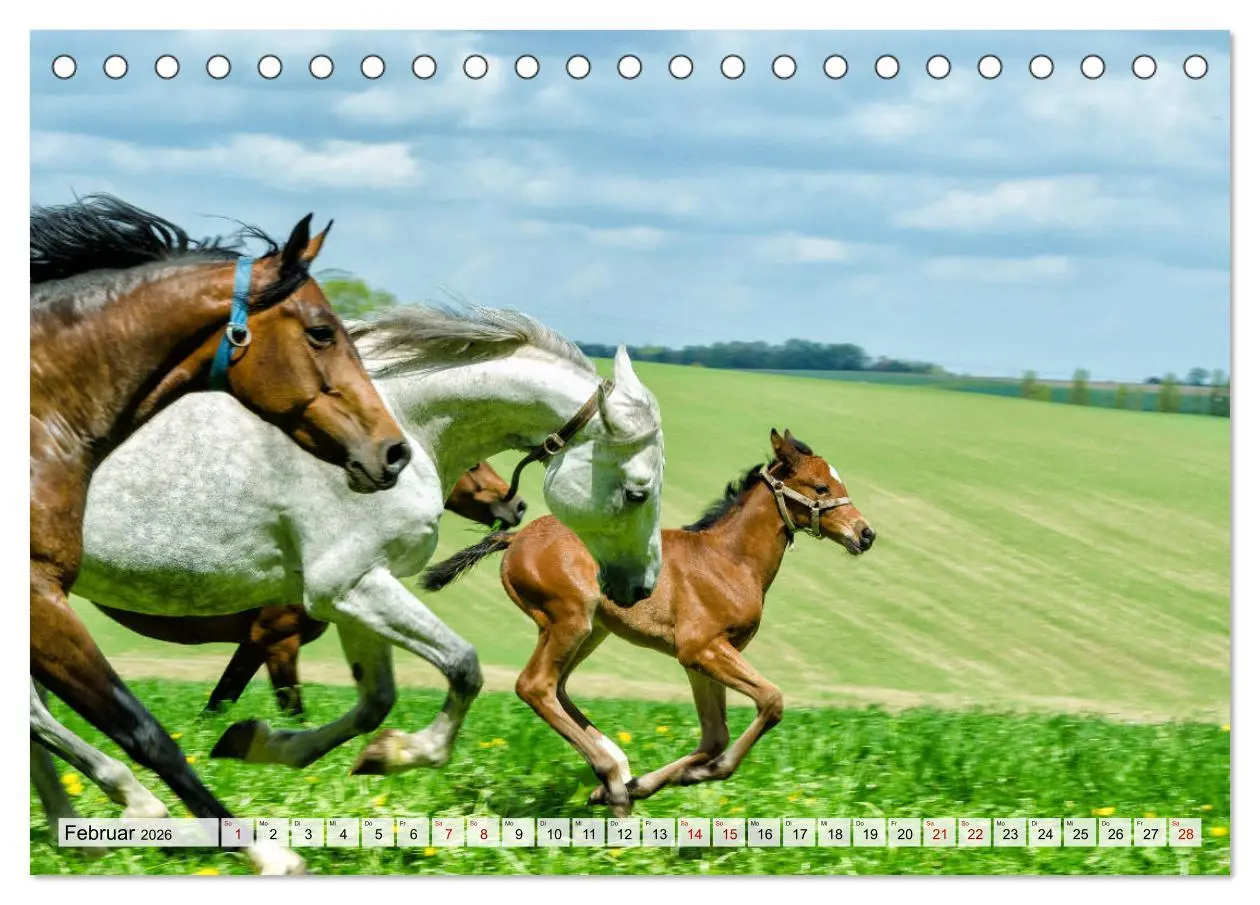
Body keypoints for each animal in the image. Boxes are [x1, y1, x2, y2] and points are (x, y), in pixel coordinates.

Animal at [30, 194, 408, 874]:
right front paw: (262, 849)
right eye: (322, 331)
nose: (393, 452)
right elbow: (144, 730)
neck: (34, 413)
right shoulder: (37, 595)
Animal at [92, 460, 527, 717]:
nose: (518, 505)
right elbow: (292, 712)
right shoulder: (277, 642)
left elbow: (218, 704)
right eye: (474, 464)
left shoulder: (254, 646)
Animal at [421, 429, 875, 816]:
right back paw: (612, 777)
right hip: (569, 619)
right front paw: (701, 773)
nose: (865, 533)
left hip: (591, 630)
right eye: (821, 488)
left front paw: (652, 782)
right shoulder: (703, 649)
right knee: (535, 685)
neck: (729, 559)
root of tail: (516, 537)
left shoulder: (700, 660)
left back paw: (615, 779)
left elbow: (715, 734)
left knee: (558, 686)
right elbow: (771, 701)